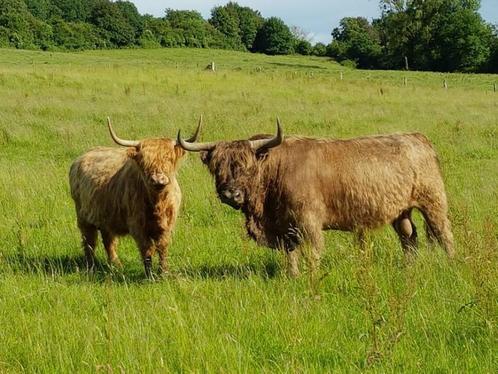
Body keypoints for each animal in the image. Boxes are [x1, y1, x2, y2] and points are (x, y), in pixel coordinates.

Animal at [69, 117, 200, 278]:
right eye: (144, 162)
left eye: (169, 159)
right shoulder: (137, 225)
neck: (158, 203)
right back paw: (91, 268)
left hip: (106, 217)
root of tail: (81, 157)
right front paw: (149, 275)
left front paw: (163, 272)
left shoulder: (168, 224)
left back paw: (116, 265)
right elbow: (147, 249)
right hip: (83, 216)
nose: (158, 179)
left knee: (108, 240)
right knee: (89, 242)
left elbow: (162, 247)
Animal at [177, 121, 454, 276]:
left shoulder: (309, 221)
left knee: (444, 235)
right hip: (400, 210)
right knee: (409, 237)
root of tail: (418, 137)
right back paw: (408, 268)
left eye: (246, 167)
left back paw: (453, 265)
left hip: (433, 201)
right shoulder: (285, 227)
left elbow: (313, 253)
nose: (229, 194)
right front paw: (293, 277)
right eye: (217, 168)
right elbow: (291, 255)